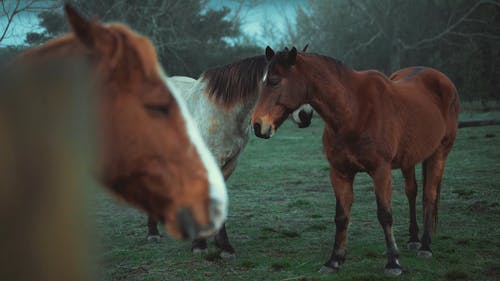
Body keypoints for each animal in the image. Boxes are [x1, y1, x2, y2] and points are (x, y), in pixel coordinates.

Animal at [252, 47, 458, 274]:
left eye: (275, 81)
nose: (258, 126)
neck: (354, 111)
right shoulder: (340, 172)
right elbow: (341, 217)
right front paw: (334, 261)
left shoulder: (381, 171)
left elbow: (385, 214)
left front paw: (393, 262)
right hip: (409, 159)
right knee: (412, 192)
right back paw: (413, 239)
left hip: (440, 153)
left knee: (429, 195)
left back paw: (425, 246)